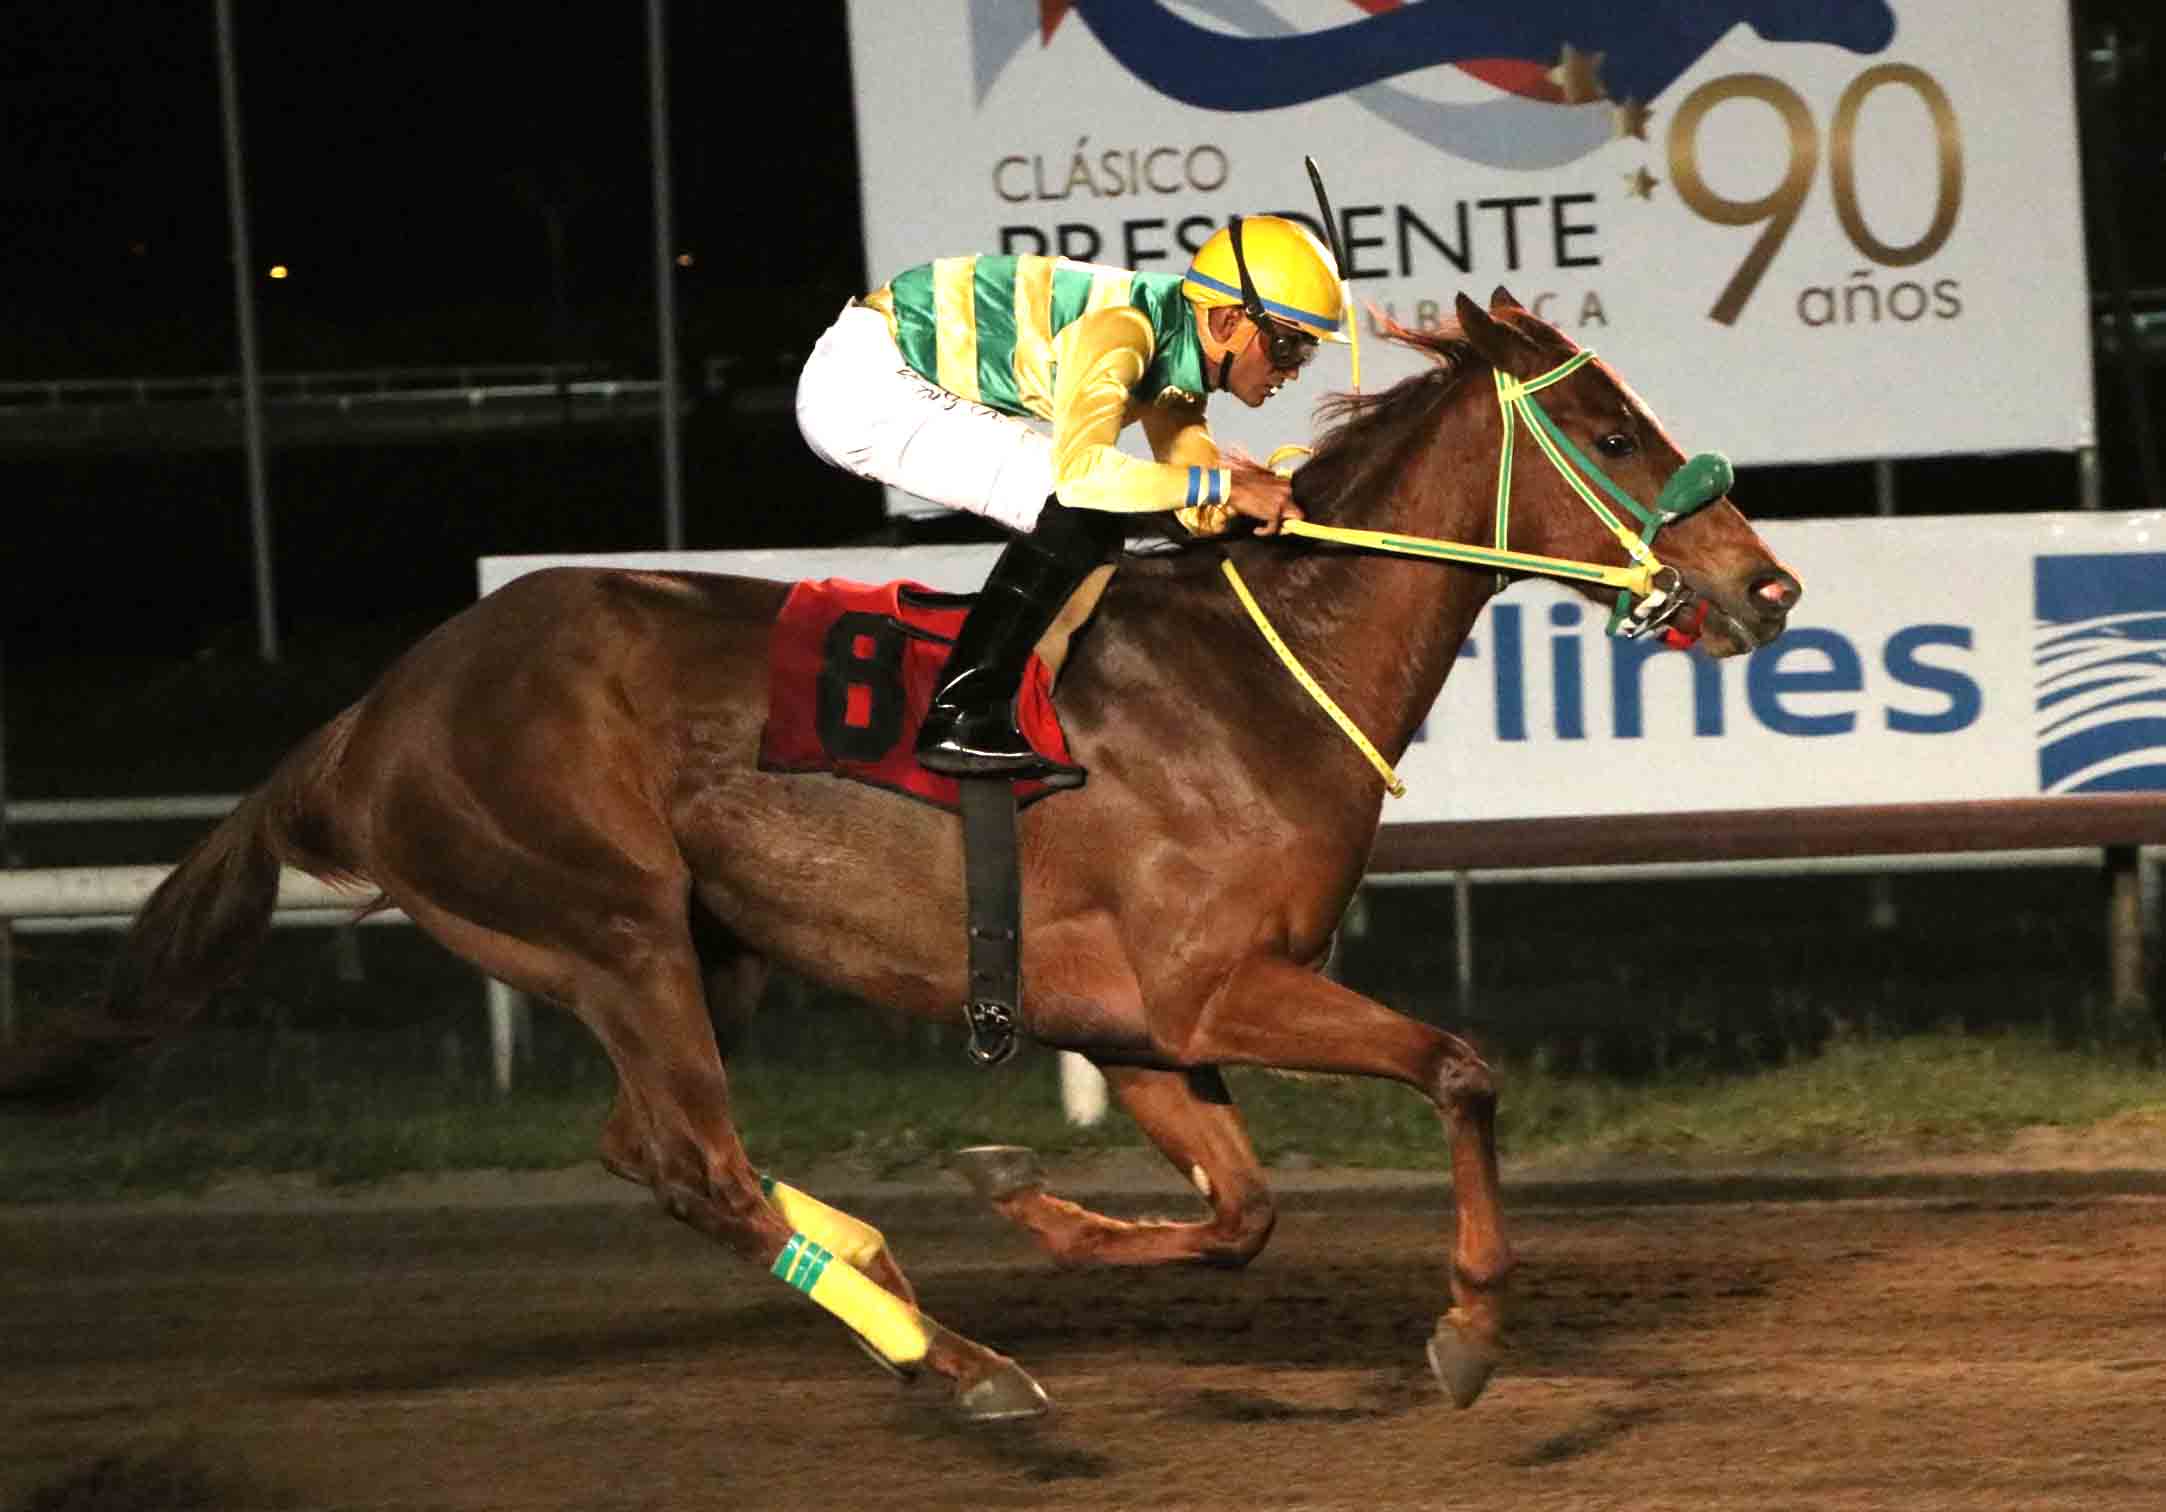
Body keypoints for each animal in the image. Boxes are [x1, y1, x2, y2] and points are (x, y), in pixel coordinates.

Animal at [0, 292, 1793, 1412]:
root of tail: (367, 718)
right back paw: (965, 1371)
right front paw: (1472, 1328)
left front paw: (1022, 1198)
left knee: (645, 1149)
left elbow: (1242, 1211)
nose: (1766, 588)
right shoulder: (1218, 989)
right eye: (1614, 433)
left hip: (685, 946)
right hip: (606, 924)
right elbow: (1460, 1071)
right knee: (699, 1163)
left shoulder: (1134, 1025)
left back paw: (889, 1276)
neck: (1249, 681)